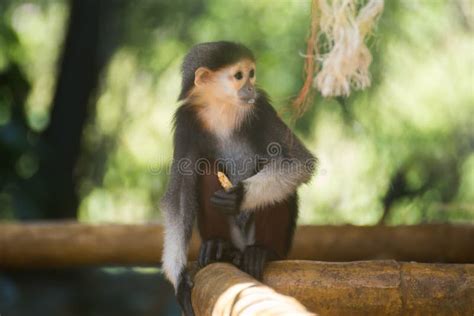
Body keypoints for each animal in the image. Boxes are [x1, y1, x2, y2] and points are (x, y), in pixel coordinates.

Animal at [161, 42, 316, 316]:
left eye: (251, 74)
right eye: (239, 76)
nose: (251, 87)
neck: (222, 107)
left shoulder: (262, 109)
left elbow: (299, 162)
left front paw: (239, 196)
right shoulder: (186, 122)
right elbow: (178, 200)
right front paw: (179, 280)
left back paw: (262, 252)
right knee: (205, 167)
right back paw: (219, 247)